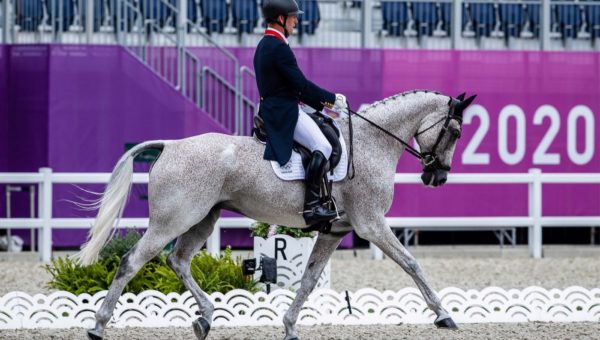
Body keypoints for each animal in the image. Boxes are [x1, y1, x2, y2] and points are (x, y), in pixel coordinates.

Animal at [79, 90, 476, 340]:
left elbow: (309, 280)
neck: (370, 143)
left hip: (202, 219)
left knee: (178, 261)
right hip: (172, 221)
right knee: (132, 262)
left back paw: (205, 318)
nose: (437, 177)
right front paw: (444, 315)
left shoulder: (334, 230)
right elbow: (411, 263)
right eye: (456, 131)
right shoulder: (371, 224)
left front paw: (289, 326)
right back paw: (98, 326)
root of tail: (171, 145)